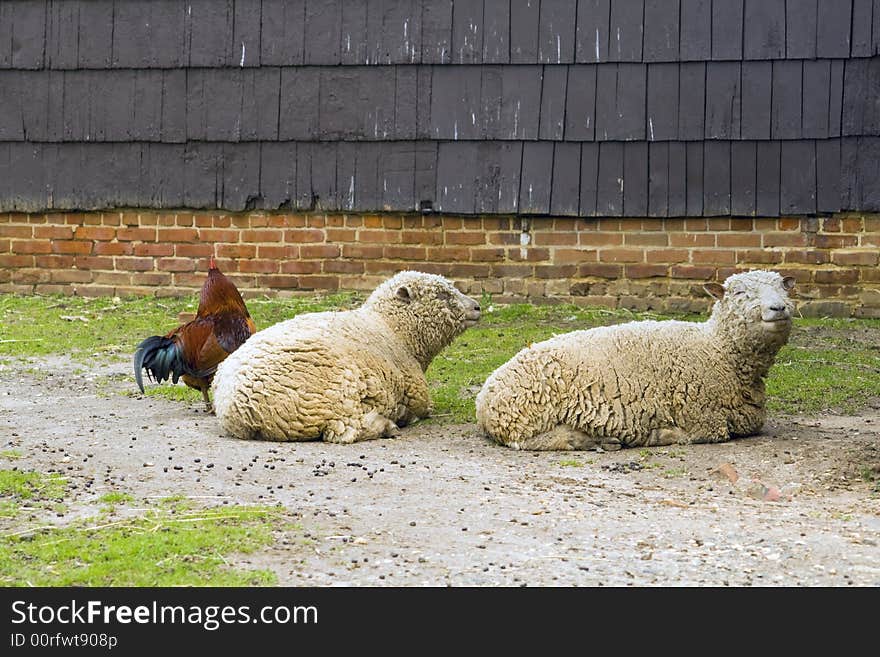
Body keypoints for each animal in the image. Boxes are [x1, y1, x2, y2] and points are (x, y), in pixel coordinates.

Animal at [212, 270, 482, 444]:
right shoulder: (417, 395)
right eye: (441, 295)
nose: (477, 307)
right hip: (335, 397)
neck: (393, 329)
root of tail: (239, 410)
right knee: (344, 432)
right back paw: (387, 425)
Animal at [474, 270, 796, 448]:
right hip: (526, 419)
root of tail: (484, 397)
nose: (778, 308)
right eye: (739, 292)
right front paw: (661, 435)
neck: (717, 348)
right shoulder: (702, 416)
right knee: (529, 442)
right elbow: (708, 434)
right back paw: (586, 440)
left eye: (784, 287)